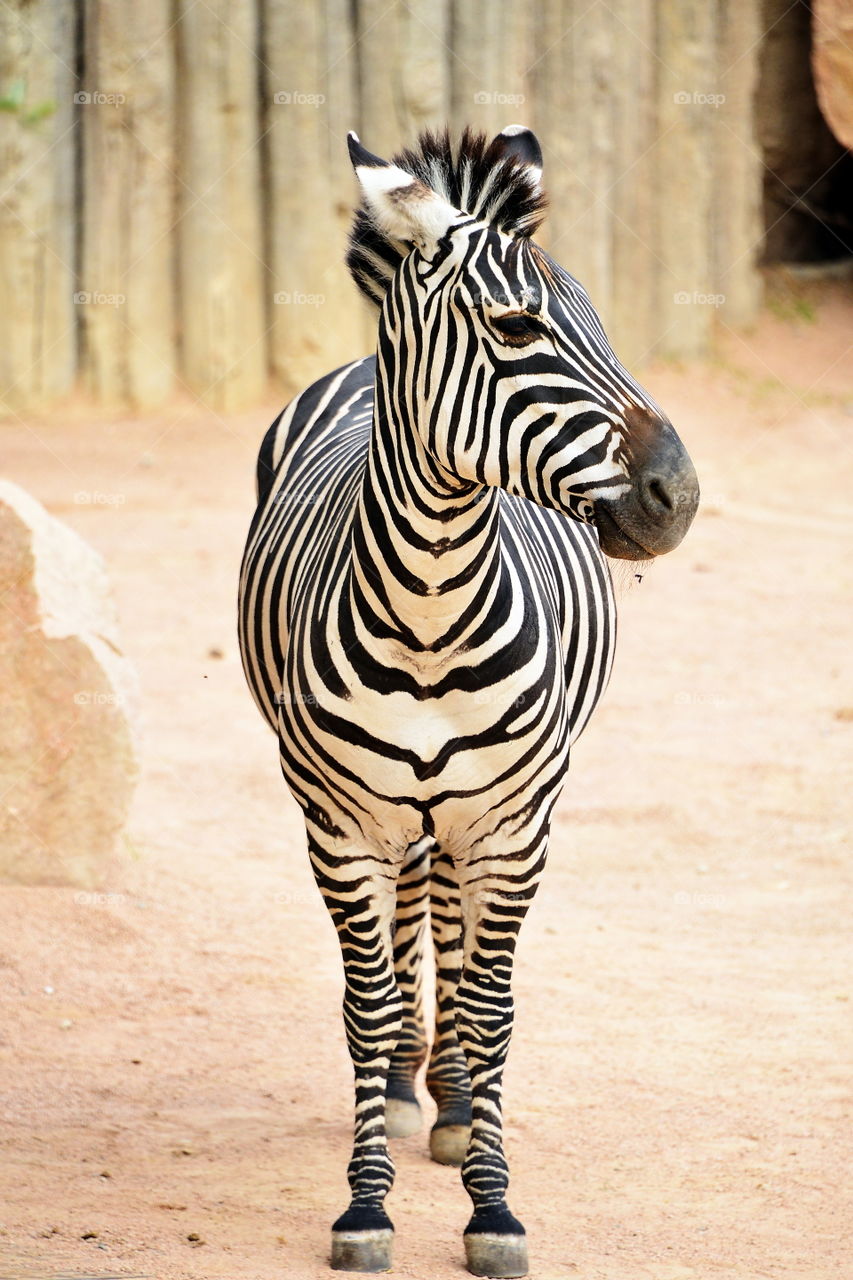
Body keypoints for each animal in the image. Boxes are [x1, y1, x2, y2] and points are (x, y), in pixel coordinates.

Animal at [239, 124, 696, 1274]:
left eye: (602, 322)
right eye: (517, 325)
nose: (678, 496)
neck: (431, 611)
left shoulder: (513, 826)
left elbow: (492, 1009)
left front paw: (491, 1205)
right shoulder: (340, 825)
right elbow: (363, 1007)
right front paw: (366, 1204)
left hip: (477, 813)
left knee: (448, 926)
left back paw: (450, 1102)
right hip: (397, 814)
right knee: (413, 916)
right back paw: (414, 1089)